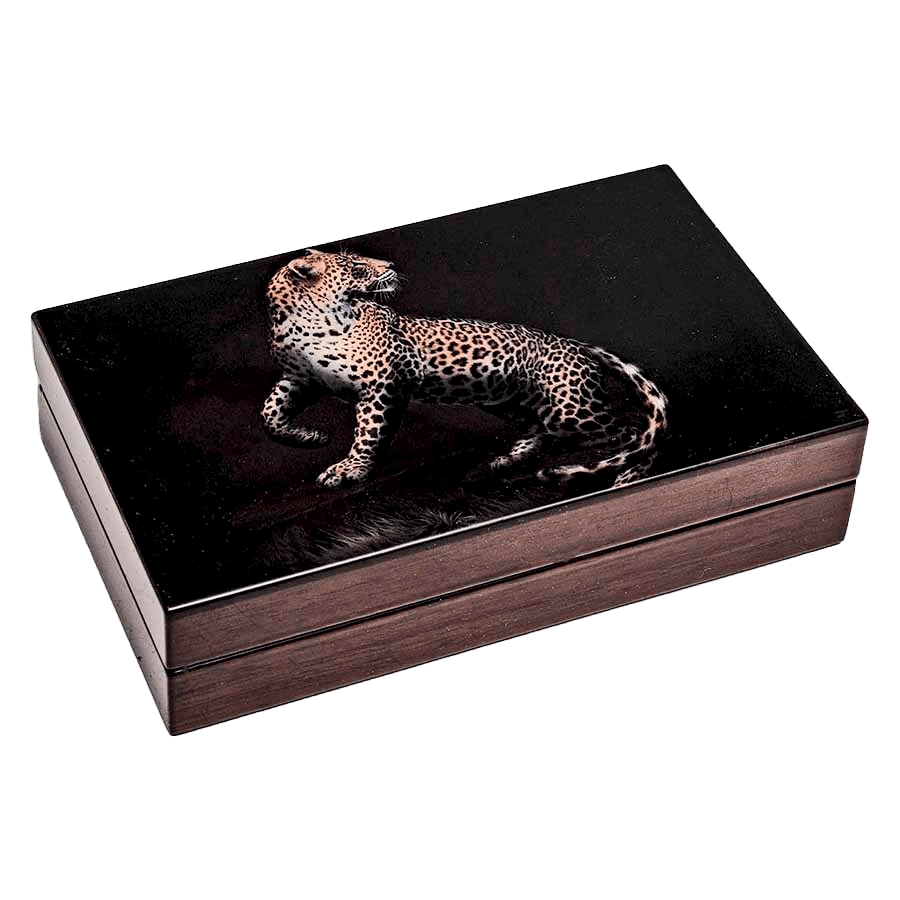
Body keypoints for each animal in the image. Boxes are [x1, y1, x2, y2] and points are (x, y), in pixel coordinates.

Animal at [261, 248, 668, 490]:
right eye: (358, 268)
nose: (391, 266)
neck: (303, 321)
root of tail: (574, 343)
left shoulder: (384, 382)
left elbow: (369, 432)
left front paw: (351, 469)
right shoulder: (300, 378)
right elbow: (270, 414)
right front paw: (310, 437)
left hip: (571, 409)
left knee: (635, 432)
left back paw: (627, 475)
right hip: (510, 401)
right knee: (540, 430)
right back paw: (507, 460)